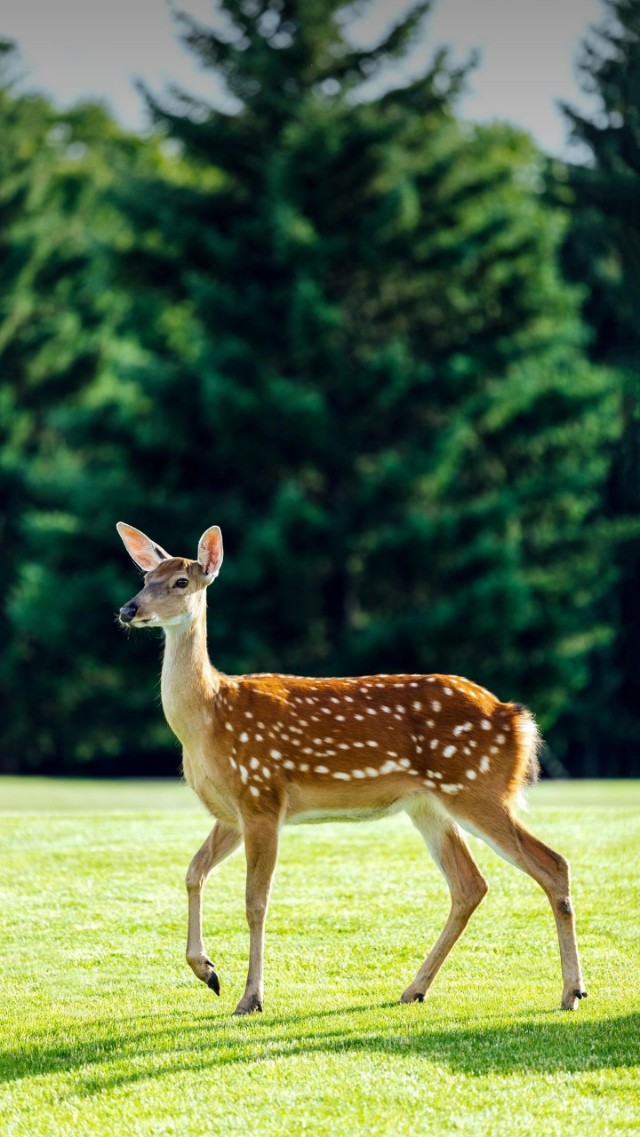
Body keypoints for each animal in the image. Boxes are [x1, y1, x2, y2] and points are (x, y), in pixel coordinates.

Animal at [117, 520, 586, 1014]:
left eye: (180, 582)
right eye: (145, 577)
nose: (129, 609)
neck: (208, 719)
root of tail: (517, 718)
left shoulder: (262, 794)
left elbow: (255, 901)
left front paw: (251, 997)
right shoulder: (232, 812)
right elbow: (193, 873)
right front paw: (207, 971)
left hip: (477, 786)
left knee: (552, 863)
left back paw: (571, 991)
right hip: (429, 805)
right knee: (470, 885)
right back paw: (415, 988)